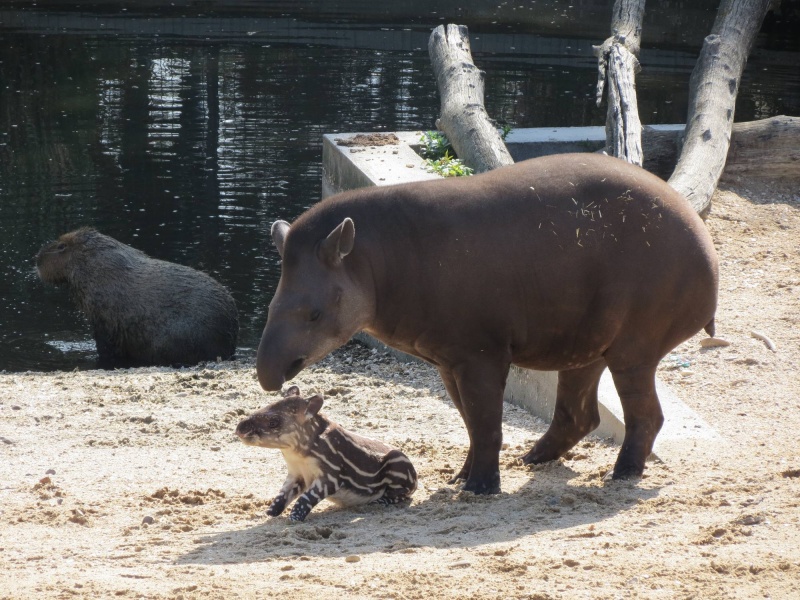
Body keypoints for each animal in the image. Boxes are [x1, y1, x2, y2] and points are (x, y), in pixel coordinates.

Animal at [234, 384, 416, 520]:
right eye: (263, 406)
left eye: (274, 422)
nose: (239, 429)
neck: (297, 454)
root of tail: (416, 479)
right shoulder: (296, 473)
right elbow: (282, 495)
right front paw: (268, 514)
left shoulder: (331, 475)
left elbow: (307, 497)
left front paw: (294, 518)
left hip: (398, 467)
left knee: (402, 494)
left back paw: (379, 502)